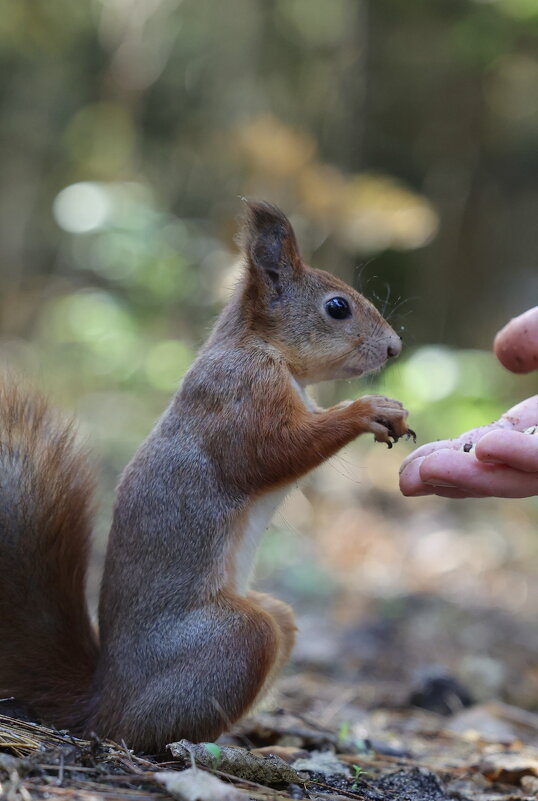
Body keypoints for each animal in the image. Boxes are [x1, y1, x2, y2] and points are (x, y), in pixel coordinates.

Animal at [0, 198, 412, 752]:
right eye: (337, 307)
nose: (393, 348)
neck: (264, 349)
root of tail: (101, 704)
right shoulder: (238, 396)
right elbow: (270, 453)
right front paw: (368, 410)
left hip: (274, 619)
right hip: (237, 638)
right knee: (149, 726)